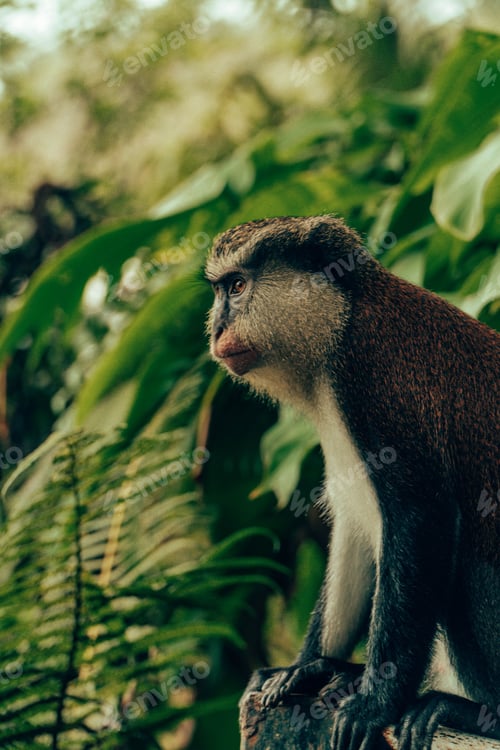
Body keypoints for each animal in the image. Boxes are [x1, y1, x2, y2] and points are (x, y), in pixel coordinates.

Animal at [205, 215, 500, 750]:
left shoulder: (371, 375)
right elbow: (357, 529)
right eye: (218, 292)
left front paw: (373, 703)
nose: (217, 327)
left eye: (237, 287)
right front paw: (304, 668)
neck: (340, 324)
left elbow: (419, 515)